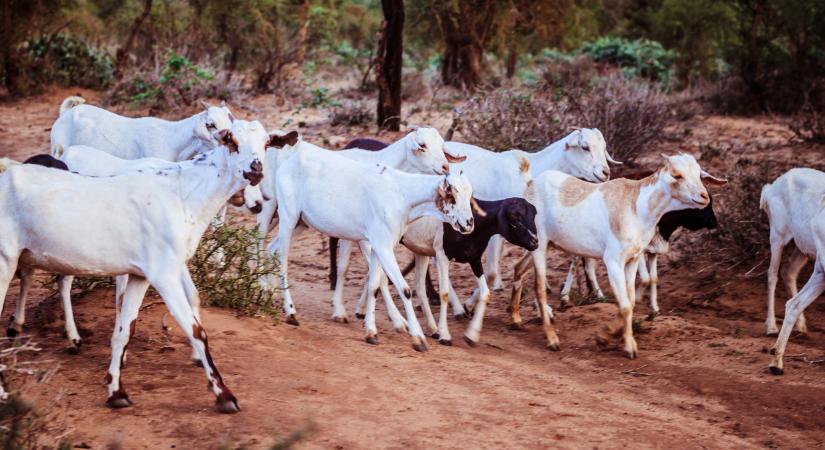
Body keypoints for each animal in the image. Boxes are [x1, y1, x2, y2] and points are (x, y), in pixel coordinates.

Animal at [0, 122, 268, 412]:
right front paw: (224, 395)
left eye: (266, 143)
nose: (256, 170)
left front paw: (116, 391)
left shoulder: (141, 275)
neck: (181, 193)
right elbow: (196, 330)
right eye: (232, 141)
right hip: (5, 260)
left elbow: (125, 330)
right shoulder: (164, 274)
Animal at [506, 155, 724, 358]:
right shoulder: (613, 261)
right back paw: (552, 339)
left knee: (518, 268)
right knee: (539, 289)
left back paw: (516, 319)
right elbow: (626, 305)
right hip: (540, 246)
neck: (637, 207)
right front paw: (627, 346)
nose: (703, 196)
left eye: (699, 174)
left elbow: (631, 300)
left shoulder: (633, 260)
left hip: (542, 244)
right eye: (677, 175)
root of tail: (531, 183)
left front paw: (608, 336)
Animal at [760, 168, 824, 334]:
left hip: (803, 248)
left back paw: (800, 326)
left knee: (788, 271)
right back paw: (771, 326)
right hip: (777, 235)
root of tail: (770, 189)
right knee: (772, 274)